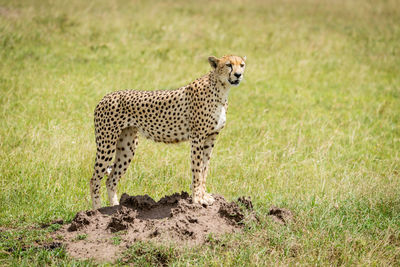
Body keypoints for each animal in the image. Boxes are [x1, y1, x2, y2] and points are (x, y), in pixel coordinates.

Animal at [91, 55, 247, 209]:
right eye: (228, 65)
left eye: (242, 65)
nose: (238, 75)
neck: (221, 89)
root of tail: (106, 97)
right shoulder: (197, 137)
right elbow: (197, 169)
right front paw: (197, 199)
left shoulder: (211, 137)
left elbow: (204, 169)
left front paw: (204, 196)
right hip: (107, 144)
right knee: (94, 180)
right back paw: (97, 210)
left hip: (127, 147)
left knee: (111, 179)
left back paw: (115, 208)